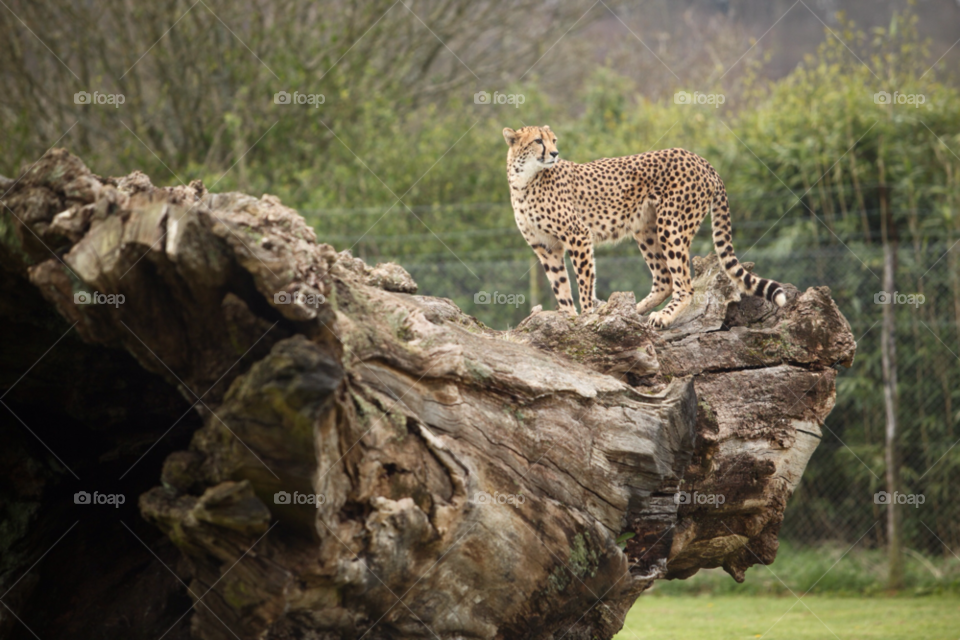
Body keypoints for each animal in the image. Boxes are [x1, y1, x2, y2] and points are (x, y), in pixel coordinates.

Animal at [503, 124, 787, 328]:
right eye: (539, 141)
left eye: (553, 140)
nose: (554, 154)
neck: (524, 180)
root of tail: (699, 158)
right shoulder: (546, 247)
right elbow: (560, 286)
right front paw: (569, 317)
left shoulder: (578, 235)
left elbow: (584, 282)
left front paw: (585, 316)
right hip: (645, 228)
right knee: (664, 280)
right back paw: (631, 310)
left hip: (671, 224)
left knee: (684, 284)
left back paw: (662, 316)